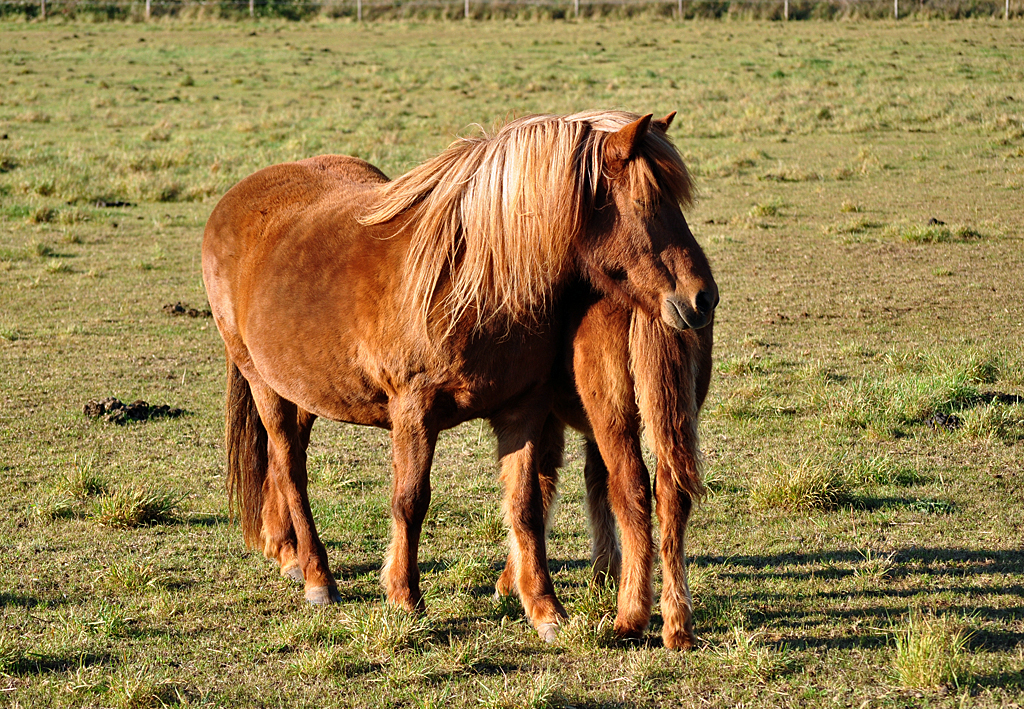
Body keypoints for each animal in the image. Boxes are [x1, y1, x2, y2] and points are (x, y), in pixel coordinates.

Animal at [201, 110, 720, 643]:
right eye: (646, 203)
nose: (703, 297)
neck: (472, 276)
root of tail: (237, 196)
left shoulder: (524, 410)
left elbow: (526, 505)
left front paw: (545, 610)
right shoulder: (414, 410)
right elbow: (410, 501)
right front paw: (405, 597)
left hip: (304, 389)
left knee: (282, 463)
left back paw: (286, 553)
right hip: (262, 383)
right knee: (290, 468)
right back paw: (317, 576)